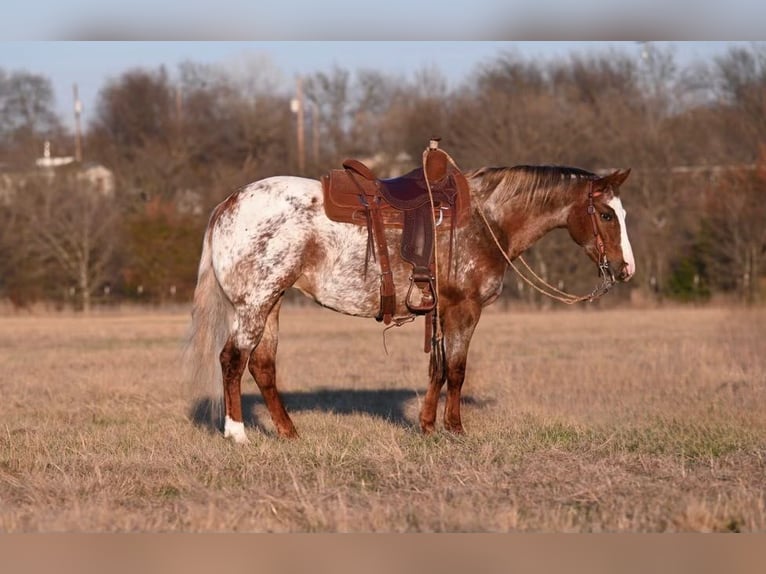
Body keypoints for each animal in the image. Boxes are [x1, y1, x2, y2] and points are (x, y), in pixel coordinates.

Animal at [184, 162, 636, 446]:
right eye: (606, 214)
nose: (625, 268)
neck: (485, 220)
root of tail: (228, 204)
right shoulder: (463, 309)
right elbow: (457, 371)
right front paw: (455, 430)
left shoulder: (439, 312)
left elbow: (437, 368)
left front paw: (428, 426)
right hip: (255, 303)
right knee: (232, 359)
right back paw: (237, 433)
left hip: (272, 301)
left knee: (263, 366)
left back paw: (289, 433)